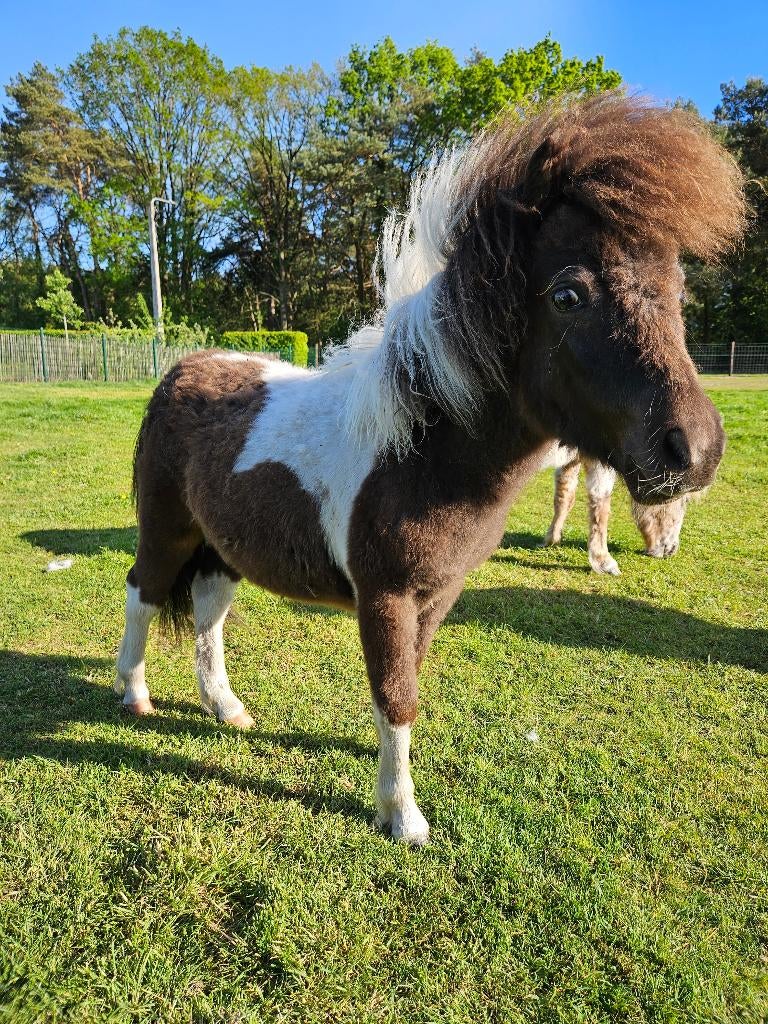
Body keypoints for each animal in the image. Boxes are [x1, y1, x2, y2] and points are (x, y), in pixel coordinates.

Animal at [541, 444, 689, 574]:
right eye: (684, 501)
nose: (671, 550)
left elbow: (565, 494)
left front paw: (552, 538)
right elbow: (600, 500)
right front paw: (603, 561)